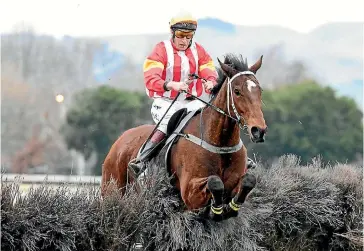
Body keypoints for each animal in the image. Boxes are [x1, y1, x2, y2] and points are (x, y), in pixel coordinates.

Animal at [101, 52, 268, 221]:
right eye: (237, 91)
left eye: (259, 90)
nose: (258, 130)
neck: (219, 143)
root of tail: (120, 140)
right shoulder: (189, 191)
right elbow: (215, 182)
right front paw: (215, 210)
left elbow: (249, 180)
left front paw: (231, 208)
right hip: (111, 187)